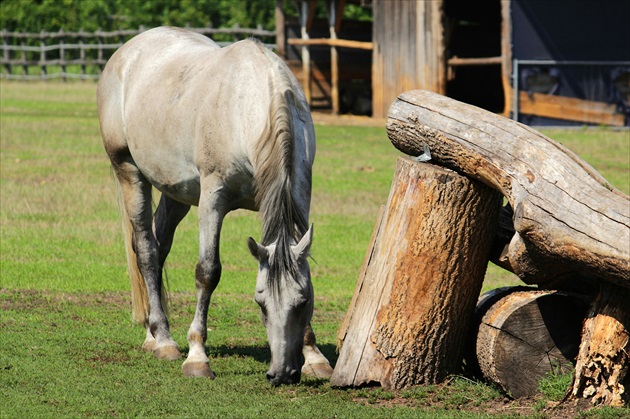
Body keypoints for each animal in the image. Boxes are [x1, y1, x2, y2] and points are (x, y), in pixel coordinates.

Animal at [97, 27, 334, 388]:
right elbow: (208, 272)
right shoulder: (213, 198)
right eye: (260, 303)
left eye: (303, 302)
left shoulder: (300, 194)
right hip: (129, 172)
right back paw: (164, 341)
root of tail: (126, 52)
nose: (282, 373)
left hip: (176, 193)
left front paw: (315, 357)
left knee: (158, 246)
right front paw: (197, 357)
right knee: (146, 251)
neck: (246, 108)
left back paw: (153, 332)